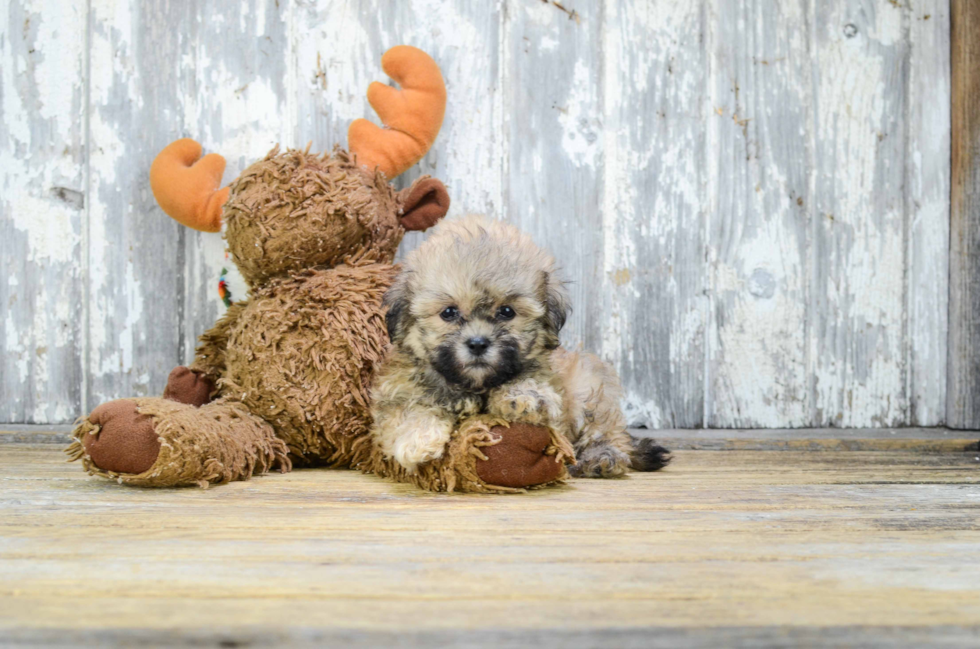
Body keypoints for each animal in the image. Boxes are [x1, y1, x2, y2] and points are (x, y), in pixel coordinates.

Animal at [372, 216, 668, 476]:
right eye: (448, 313)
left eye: (506, 311)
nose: (478, 344)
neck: (476, 386)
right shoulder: (397, 389)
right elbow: (406, 409)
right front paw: (418, 438)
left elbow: (534, 389)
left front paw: (523, 395)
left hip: (589, 387)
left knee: (607, 433)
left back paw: (602, 458)